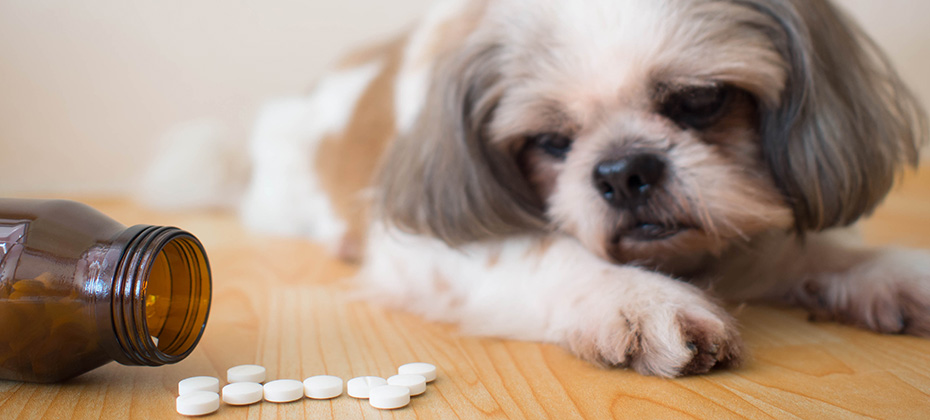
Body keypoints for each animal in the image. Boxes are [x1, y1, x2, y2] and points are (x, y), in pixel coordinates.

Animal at [154, 0, 928, 378]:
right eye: (551, 141)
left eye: (701, 101)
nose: (624, 171)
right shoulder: (431, 243)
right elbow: (544, 251)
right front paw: (636, 299)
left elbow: (812, 249)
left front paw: (886, 273)